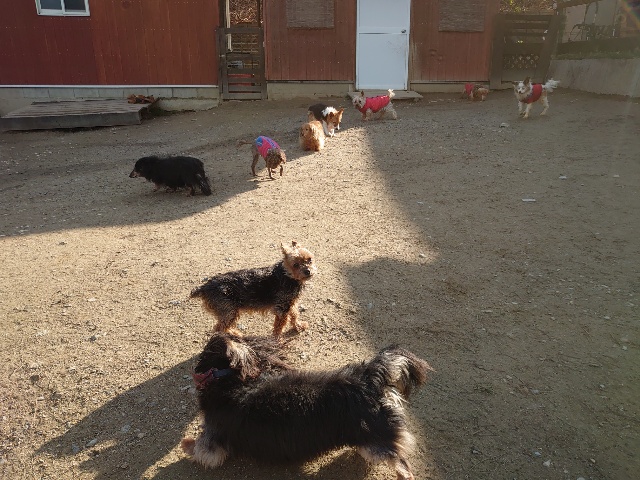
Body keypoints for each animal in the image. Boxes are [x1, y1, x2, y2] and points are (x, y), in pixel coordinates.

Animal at [181, 332, 432, 479]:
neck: (229, 381)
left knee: (399, 461)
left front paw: (186, 444)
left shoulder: (214, 436)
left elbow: (202, 450)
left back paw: (402, 474)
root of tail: (368, 379)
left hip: (376, 440)